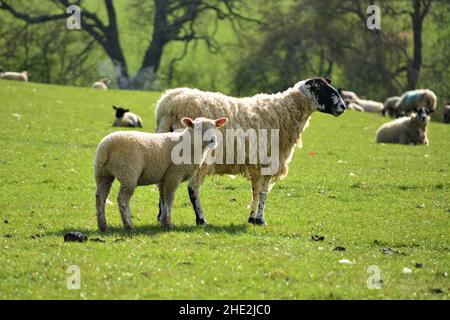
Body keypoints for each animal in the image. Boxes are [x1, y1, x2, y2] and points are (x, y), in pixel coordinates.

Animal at [95, 115, 229, 230]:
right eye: (198, 128)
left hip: (102, 173)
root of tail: (107, 147)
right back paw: (128, 225)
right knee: (122, 199)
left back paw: (102, 225)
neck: (189, 145)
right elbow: (169, 199)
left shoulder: (163, 178)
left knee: (100, 197)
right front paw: (168, 223)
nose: (212, 140)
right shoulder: (173, 175)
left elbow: (163, 199)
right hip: (129, 173)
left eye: (215, 127)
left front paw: (163, 221)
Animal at [155, 76, 344, 226]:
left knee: (163, 183)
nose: (342, 106)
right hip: (199, 155)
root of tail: (169, 104)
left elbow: (256, 191)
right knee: (193, 187)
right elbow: (264, 193)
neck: (284, 112)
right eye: (322, 89)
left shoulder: (256, 164)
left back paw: (161, 216)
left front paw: (252, 218)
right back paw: (201, 219)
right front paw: (260, 220)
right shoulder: (270, 161)